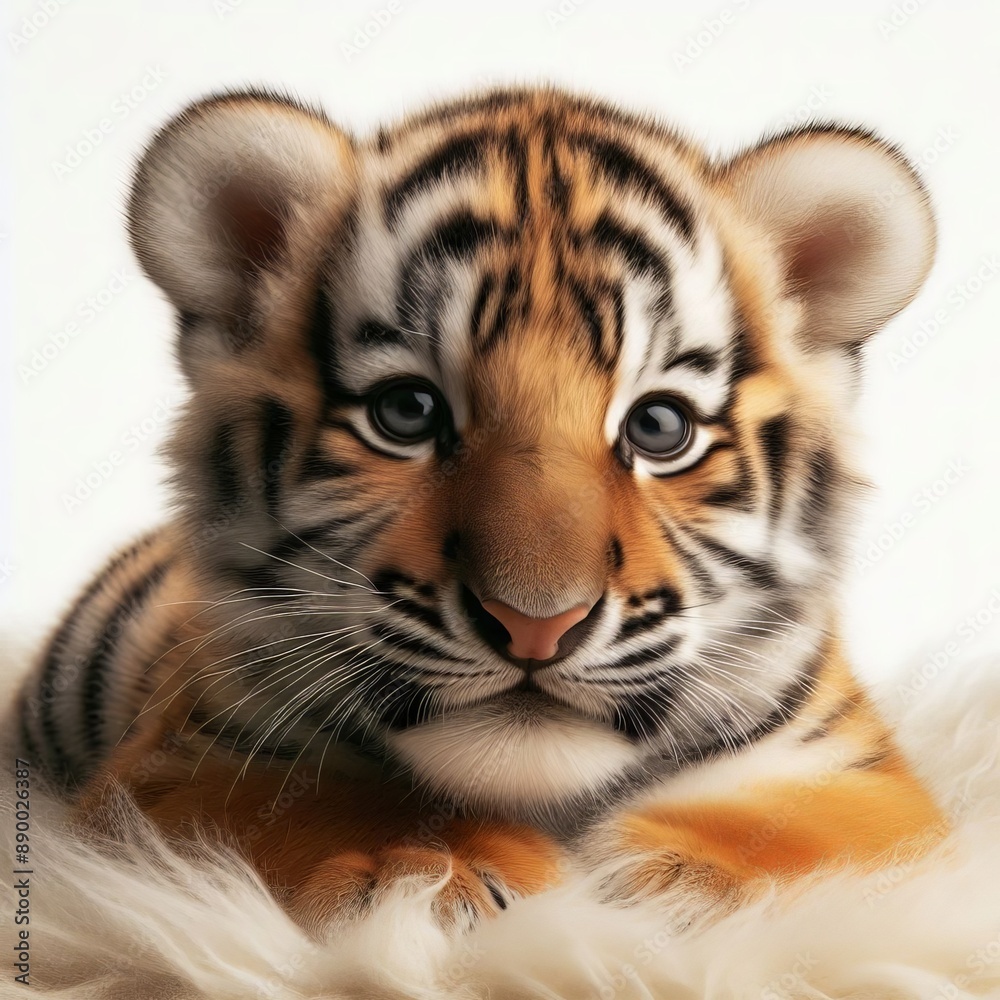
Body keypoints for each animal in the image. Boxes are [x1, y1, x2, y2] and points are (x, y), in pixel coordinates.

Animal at [15, 84, 943, 935]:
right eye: (407, 413)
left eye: (659, 427)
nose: (537, 624)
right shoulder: (178, 760)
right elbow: (317, 800)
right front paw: (425, 871)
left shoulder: (865, 776)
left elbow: (807, 835)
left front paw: (669, 879)